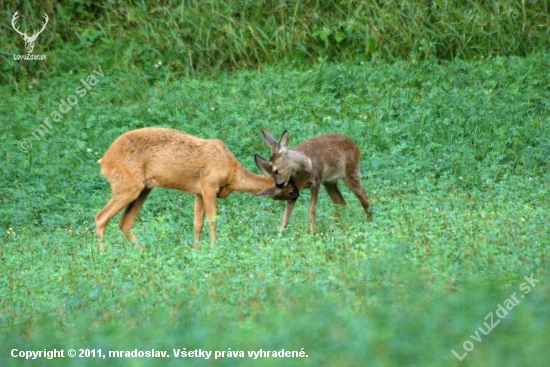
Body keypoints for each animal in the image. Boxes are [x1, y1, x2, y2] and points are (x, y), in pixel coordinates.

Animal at [96, 126, 300, 250]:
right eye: (289, 184)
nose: (297, 194)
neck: (231, 171)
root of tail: (104, 161)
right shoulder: (209, 185)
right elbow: (212, 221)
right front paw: (213, 248)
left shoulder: (198, 193)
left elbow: (197, 224)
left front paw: (196, 250)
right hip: (128, 186)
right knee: (100, 217)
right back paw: (103, 255)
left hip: (143, 189)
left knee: (124, 223)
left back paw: (143, 252)